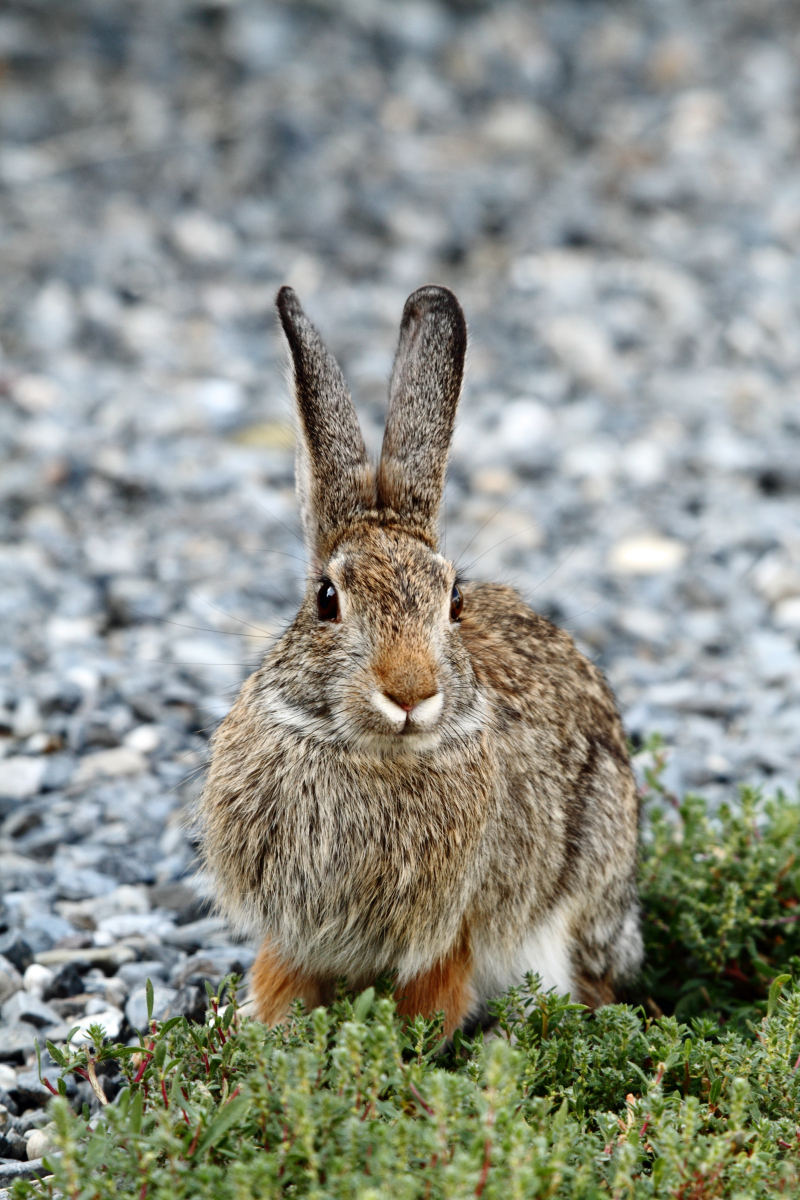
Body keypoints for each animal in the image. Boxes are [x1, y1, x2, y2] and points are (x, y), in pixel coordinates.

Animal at [200, 280, 642, 1032]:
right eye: (326, 598)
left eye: (454, 600)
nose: (410, 692)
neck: (371, 756)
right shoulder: (293, 933)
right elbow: (282, 982)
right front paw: (266, 1031)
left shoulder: (451, 932)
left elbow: (429, 1003)